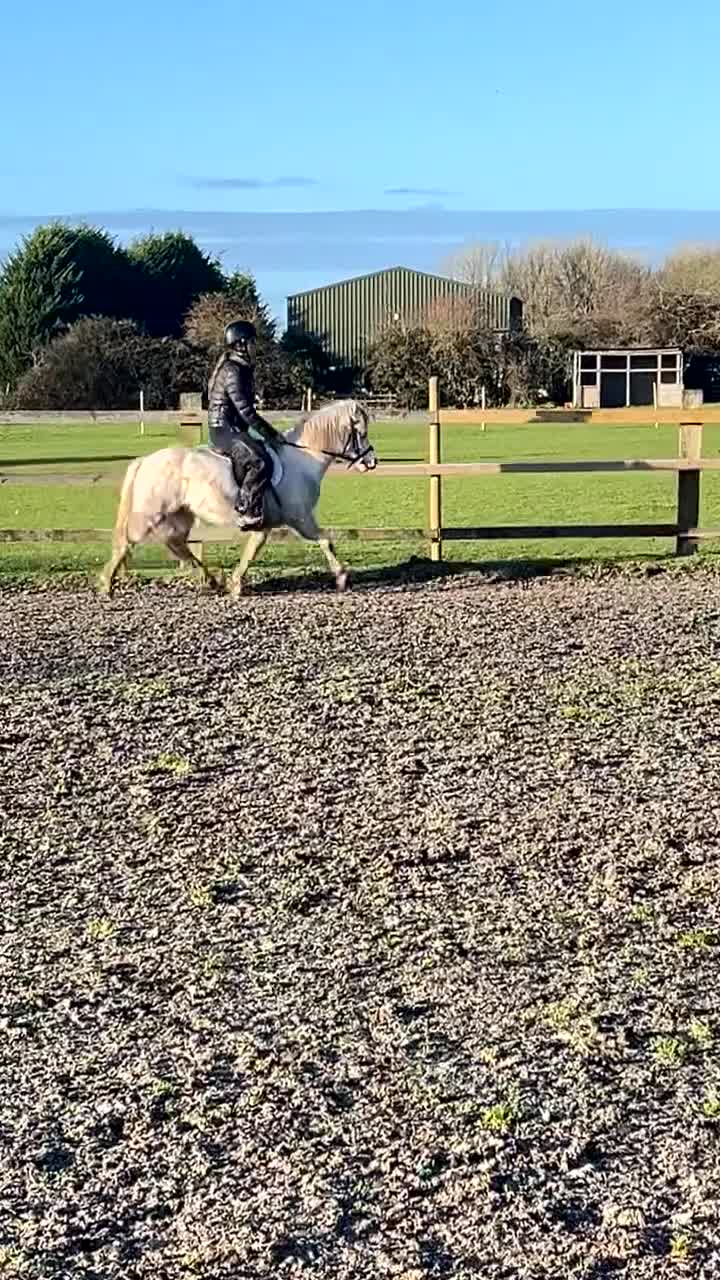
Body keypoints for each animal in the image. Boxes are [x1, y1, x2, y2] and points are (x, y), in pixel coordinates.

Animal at [99, 399, 377, 599]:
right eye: (361, 432)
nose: (372, 462)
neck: (302, 460)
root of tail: (145, 460)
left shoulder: (264, 524)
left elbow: (252, 551)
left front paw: (235, 584)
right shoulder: (300, 518)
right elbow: (325, 541)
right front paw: (341, 577)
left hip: (181, 514)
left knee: (176, 544)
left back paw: (212, 581)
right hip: (151, 514)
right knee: (127, 543)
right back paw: (106, 586)